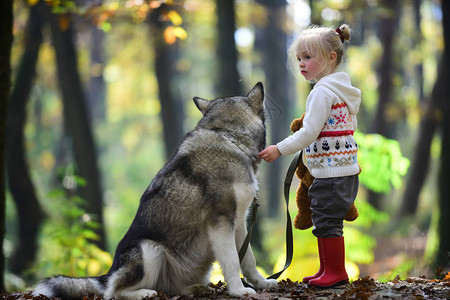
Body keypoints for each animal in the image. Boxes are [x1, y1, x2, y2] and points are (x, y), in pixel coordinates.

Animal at [32, 82, 278, 300]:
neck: (228, 136)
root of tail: (109, 271)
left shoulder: (239, 223)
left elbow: (248, 259)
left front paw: (261, 283)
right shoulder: (221, 221)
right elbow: (232, 260)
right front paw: (238, 290)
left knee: (169, 288)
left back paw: (196, 289)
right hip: (150, 250)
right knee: (113, 292)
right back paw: (143, 293)